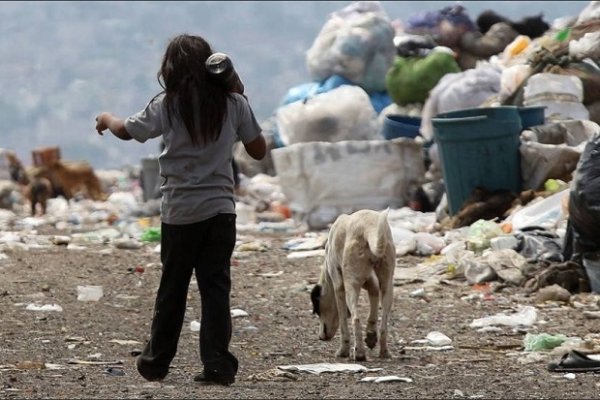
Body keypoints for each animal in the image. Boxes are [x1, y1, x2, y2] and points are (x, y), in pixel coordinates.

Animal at [312, 208, 396, 360]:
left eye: (317, 310)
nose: (320, 337)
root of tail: (369, 227)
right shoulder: (371, 282)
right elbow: (373, 305)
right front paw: (371, 335)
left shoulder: (339, 288)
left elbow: (343, 322)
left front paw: (343, 350)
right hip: (387, 284)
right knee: (384, 324)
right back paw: (384, 351)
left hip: (351, 285)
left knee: (356, 318)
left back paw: (360, 353)